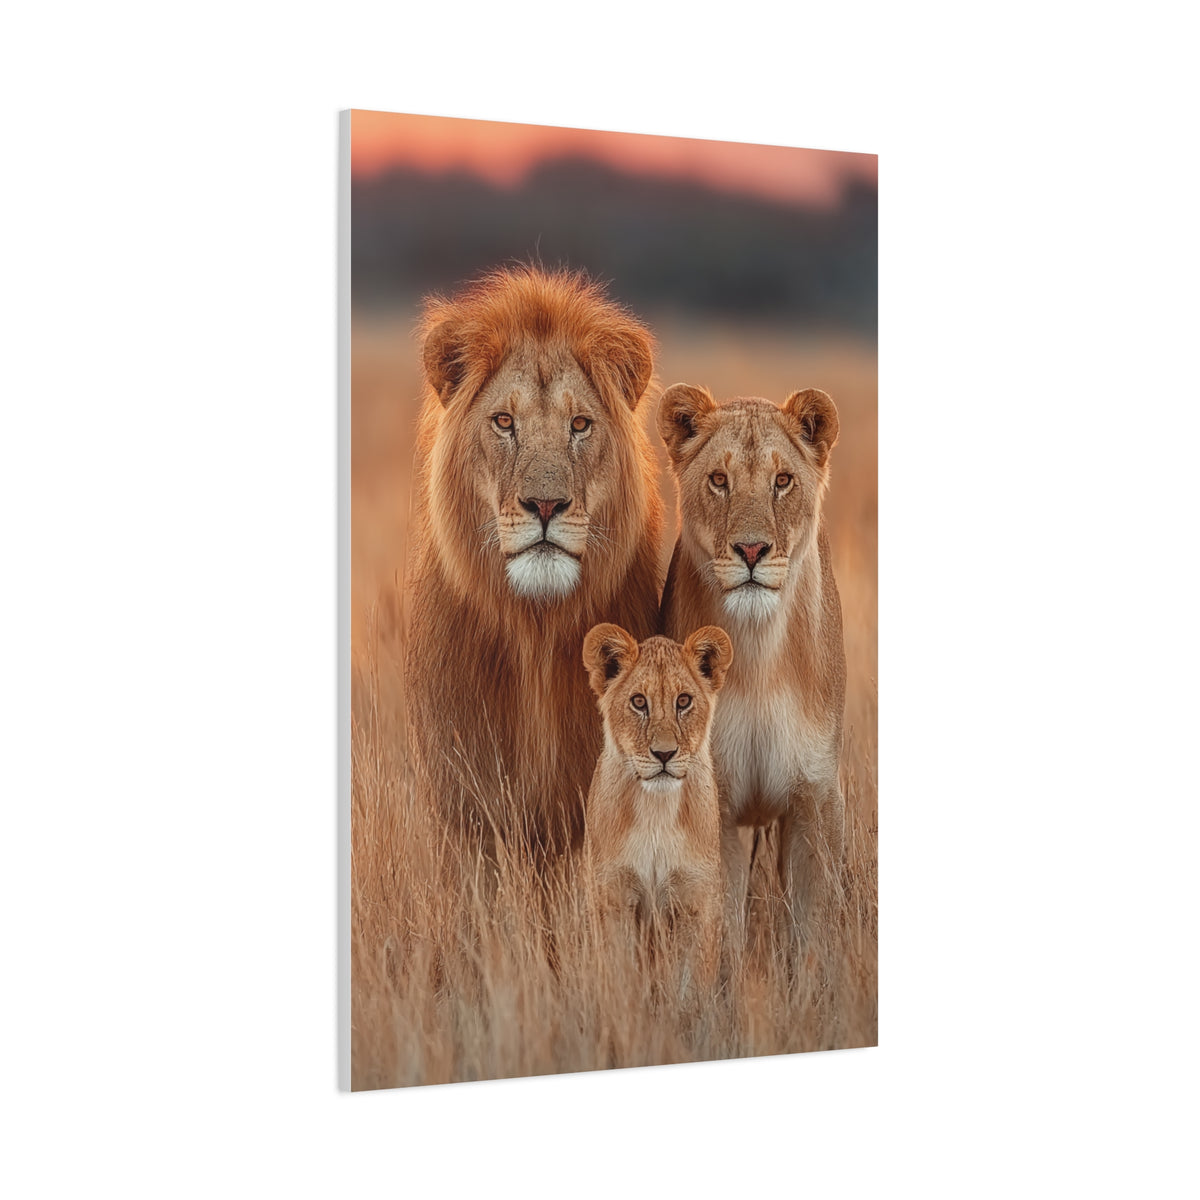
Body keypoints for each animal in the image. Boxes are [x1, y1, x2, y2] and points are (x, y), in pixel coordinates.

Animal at [581, 623, 732, 997]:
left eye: (683, 701)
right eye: (639, 702)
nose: (664, 754)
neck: (655, 811)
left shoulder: (695, 901)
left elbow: (690, 987)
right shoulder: (613, 896)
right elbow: (619, 979)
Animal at [658, 383, 846, 959]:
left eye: (782, 481)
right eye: (719, 481)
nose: (751, 549)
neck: (759, 653)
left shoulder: (816, 800)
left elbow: (815, 932)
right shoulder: (714, 802)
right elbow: (722, 935)